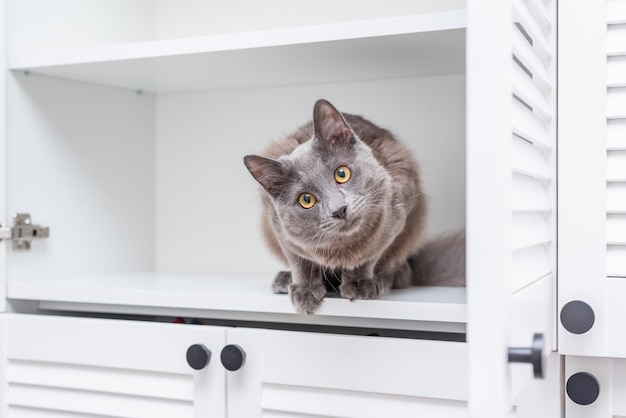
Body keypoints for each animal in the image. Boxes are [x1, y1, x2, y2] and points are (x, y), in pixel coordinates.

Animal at [244, 99, 464, 314]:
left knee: (400, 272)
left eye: (342, 173)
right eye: (306, 199)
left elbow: (368, 256)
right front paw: (305, 290)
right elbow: (300, 261)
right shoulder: (279, 229)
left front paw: (358, 285)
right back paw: (285, 279)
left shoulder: (396, 216)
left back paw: (380, 281)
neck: (341, 248)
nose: (339, 209)